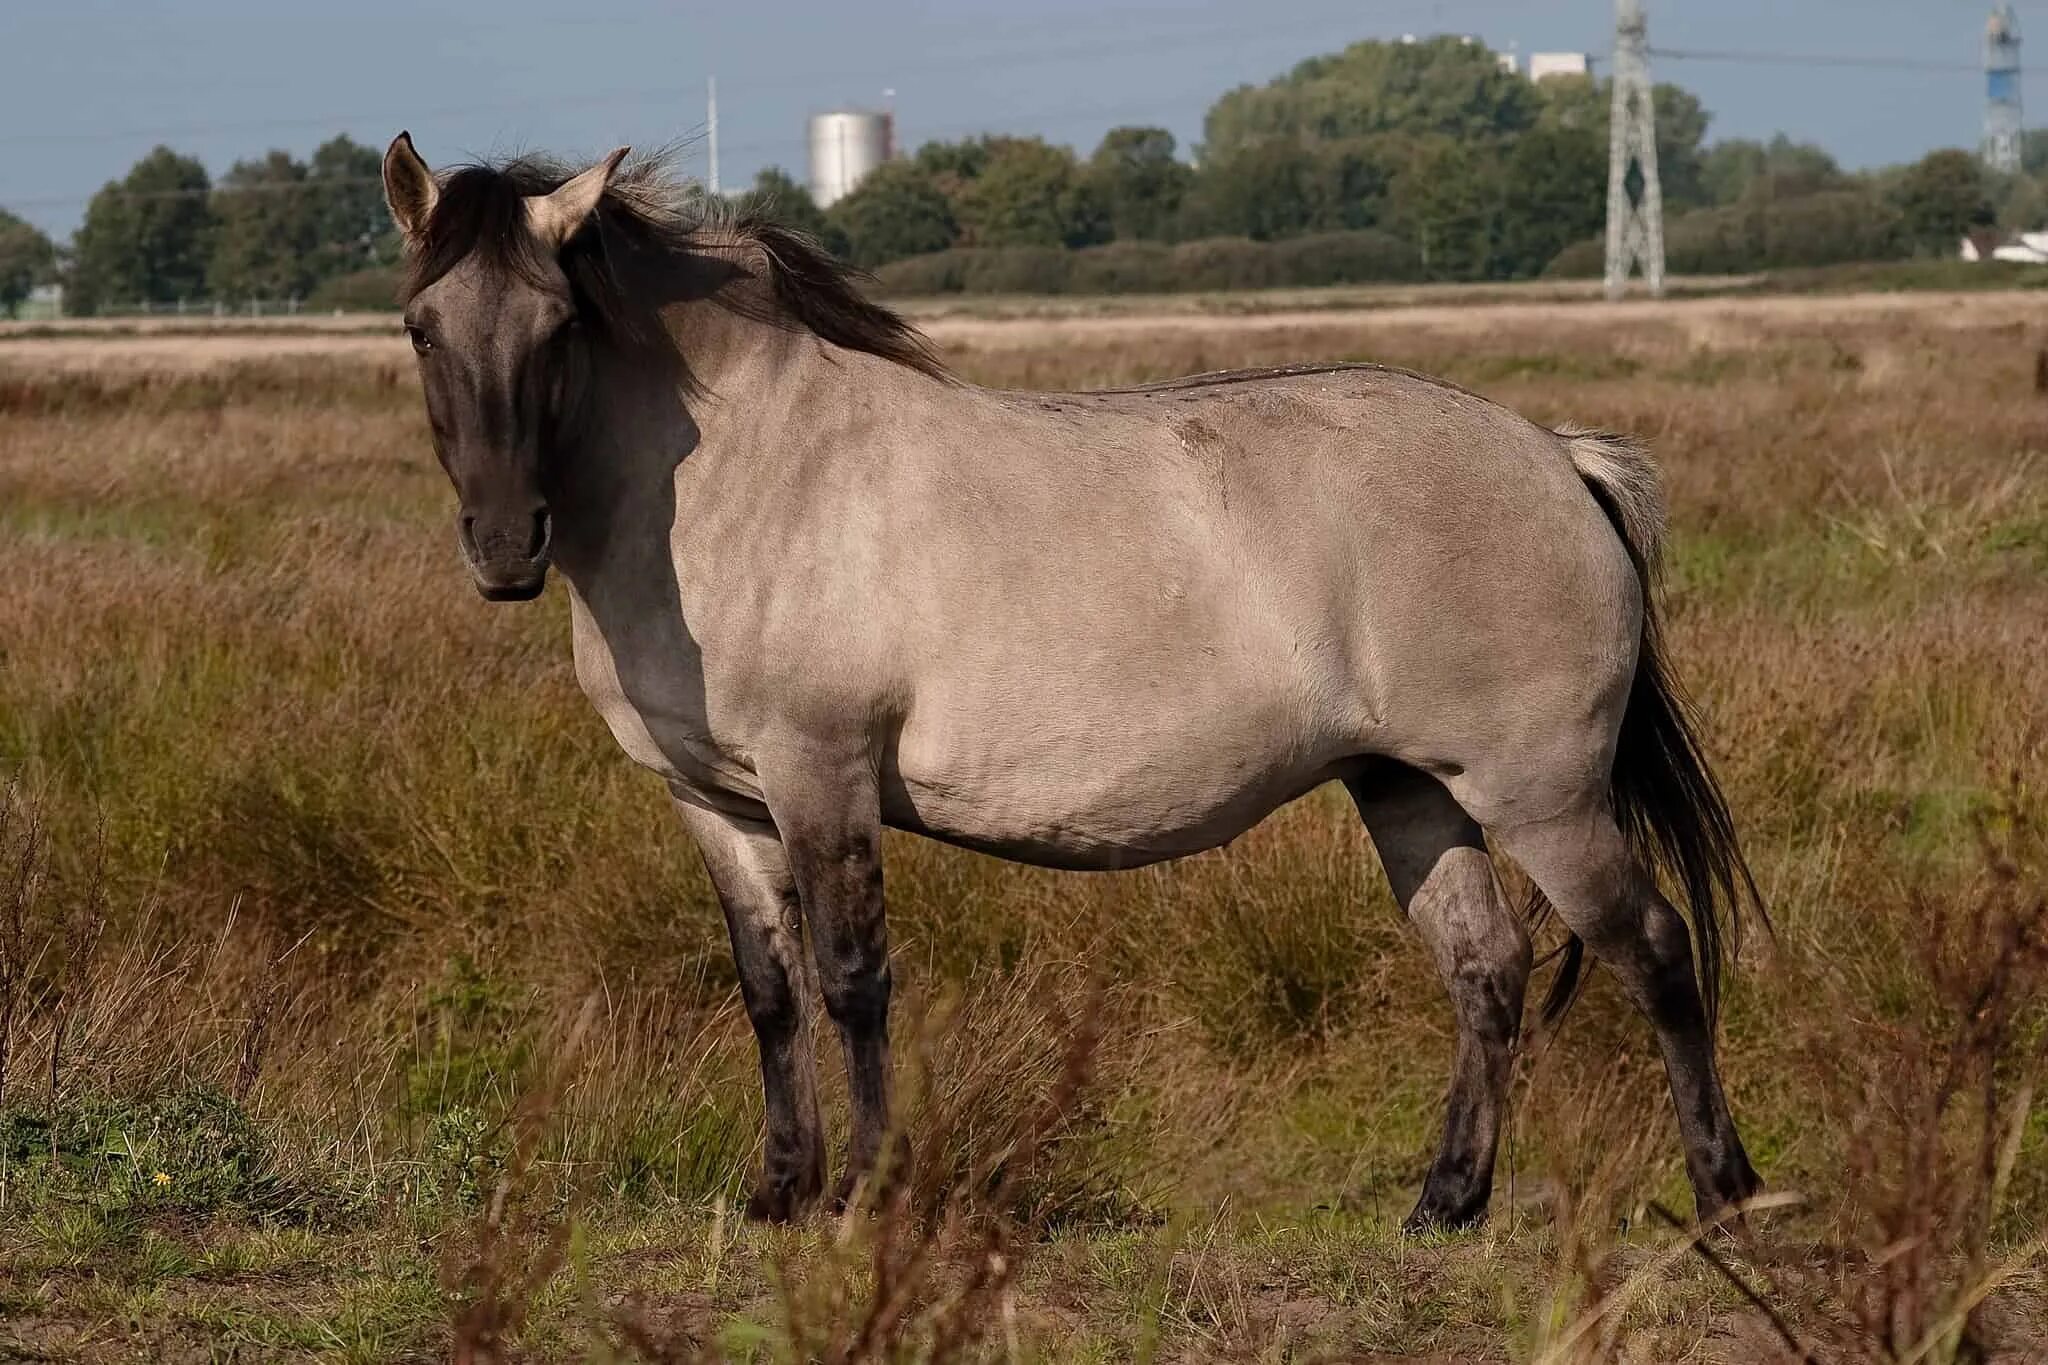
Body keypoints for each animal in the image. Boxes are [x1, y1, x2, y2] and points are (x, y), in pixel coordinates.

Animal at [380, 136, 1761, 1227]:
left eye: (559, 326)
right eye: (420, 328)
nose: (504, 547)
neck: (743, 475)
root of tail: (1554, 454)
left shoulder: (819, 775)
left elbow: (850, 980)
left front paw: (867, 1195)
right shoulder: (713, 800)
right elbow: (770, 993)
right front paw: (778, 1193)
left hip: (1541, 795)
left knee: (1652, 950)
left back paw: (1724, 1194)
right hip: (1407, 790)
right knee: (1485, 971)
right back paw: (1444, 1204)